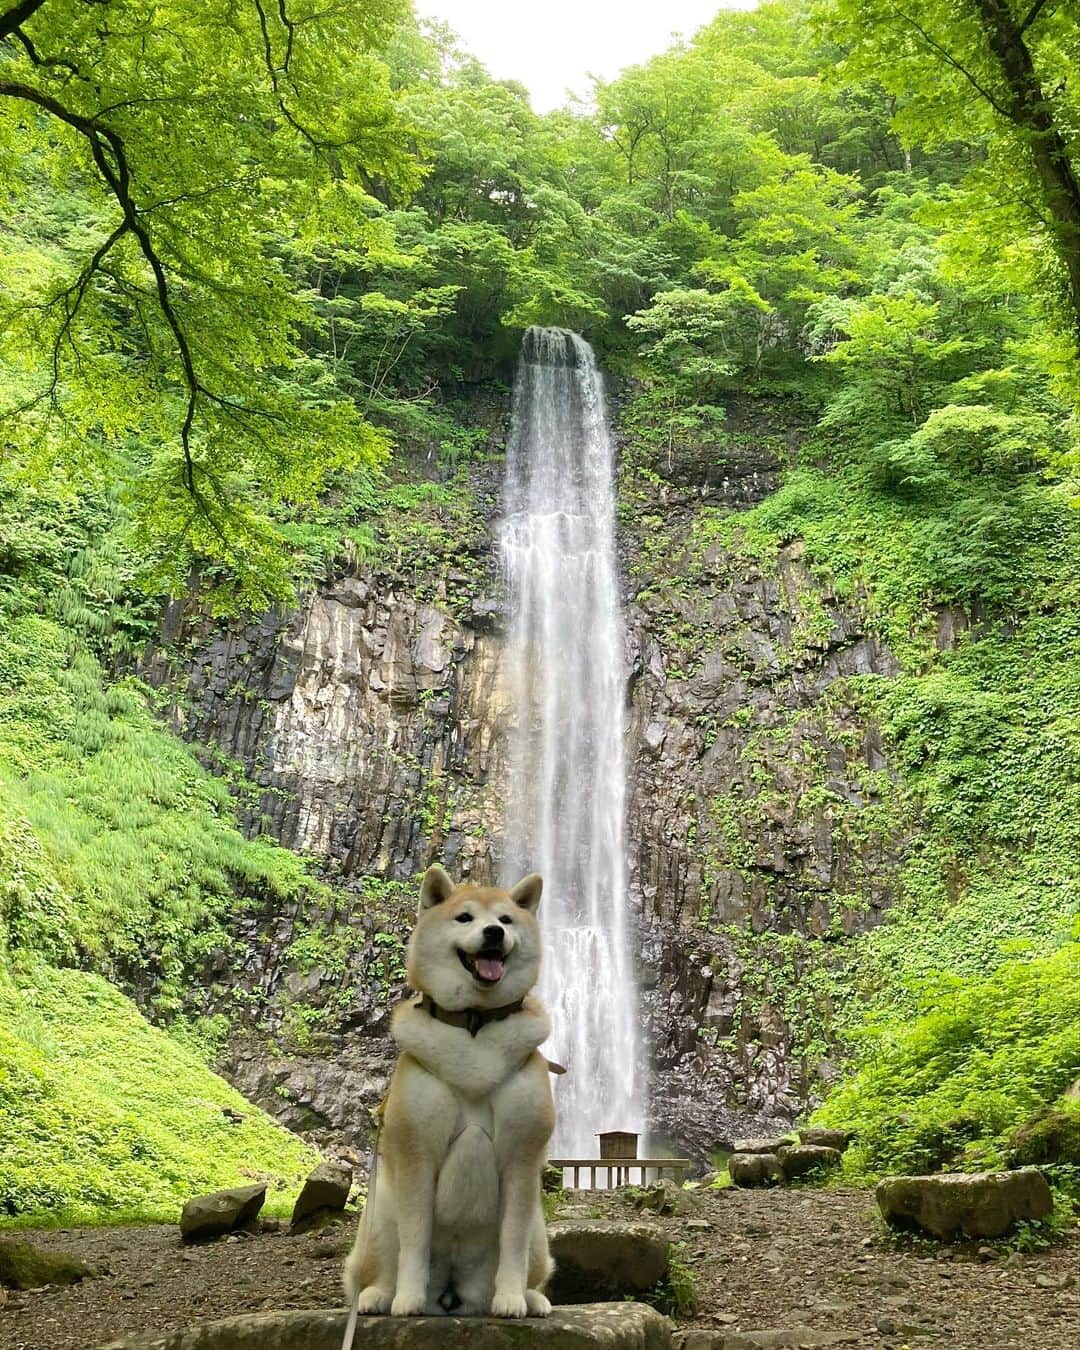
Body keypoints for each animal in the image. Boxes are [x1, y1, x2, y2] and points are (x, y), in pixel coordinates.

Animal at [341, 864, 553, 1317]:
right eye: (465, 917)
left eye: (506, 920)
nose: (493, 933)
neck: (474, 1024)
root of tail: (454, 1290)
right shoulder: (417, 1154)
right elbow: (414, 1241)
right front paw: (407, 1298)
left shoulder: (522, 1160)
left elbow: (512, 1240)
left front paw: (511, 1298)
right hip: (378, 1214)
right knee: (381, 1267)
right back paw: (379, 1296)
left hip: (539, 1232)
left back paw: (529, 1298)